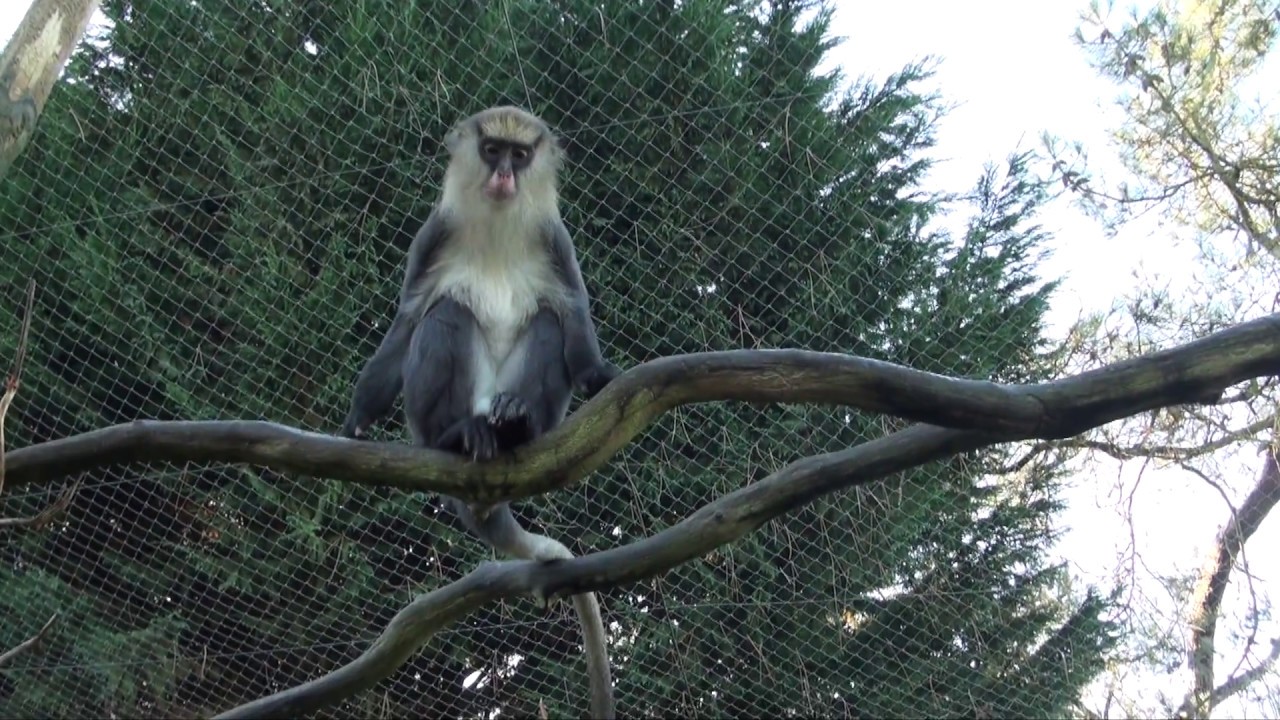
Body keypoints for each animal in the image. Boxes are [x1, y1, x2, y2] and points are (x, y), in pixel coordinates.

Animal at [340, 106, 620, 719]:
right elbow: (410, 317)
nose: (505, 176)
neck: (496, 222)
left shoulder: (554, 240)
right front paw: (356, 421)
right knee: (446, 313)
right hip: (432, 416)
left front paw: (600, 376)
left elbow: (571, 312)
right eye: (492, 150)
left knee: (547, 321)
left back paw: (514, 425)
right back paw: (459, 436)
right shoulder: (433, 237)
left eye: (520, 154)